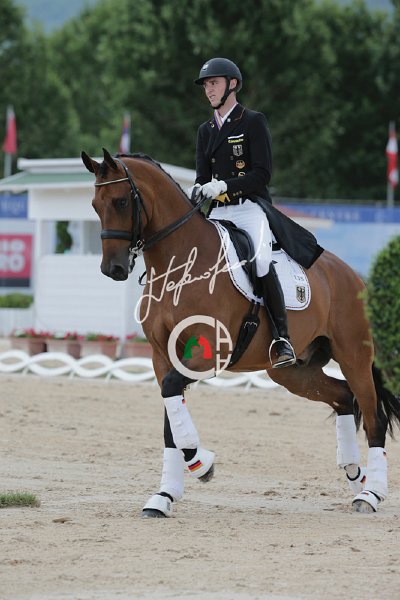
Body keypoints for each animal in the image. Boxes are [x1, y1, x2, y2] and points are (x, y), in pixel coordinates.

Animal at [82, 148, 400, 517]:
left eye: (120, 202)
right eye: (95, 205)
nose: (113, 269)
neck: (179, 262)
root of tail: (351, 276)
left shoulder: (211, 352)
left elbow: (173, 396)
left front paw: (202, 465)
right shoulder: (163, 357)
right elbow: (170, 419)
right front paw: (164, 496)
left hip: (353, 356)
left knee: (374, 416)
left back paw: (371, 494)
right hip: (293, 372)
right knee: (344, 397)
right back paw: (354, 473)